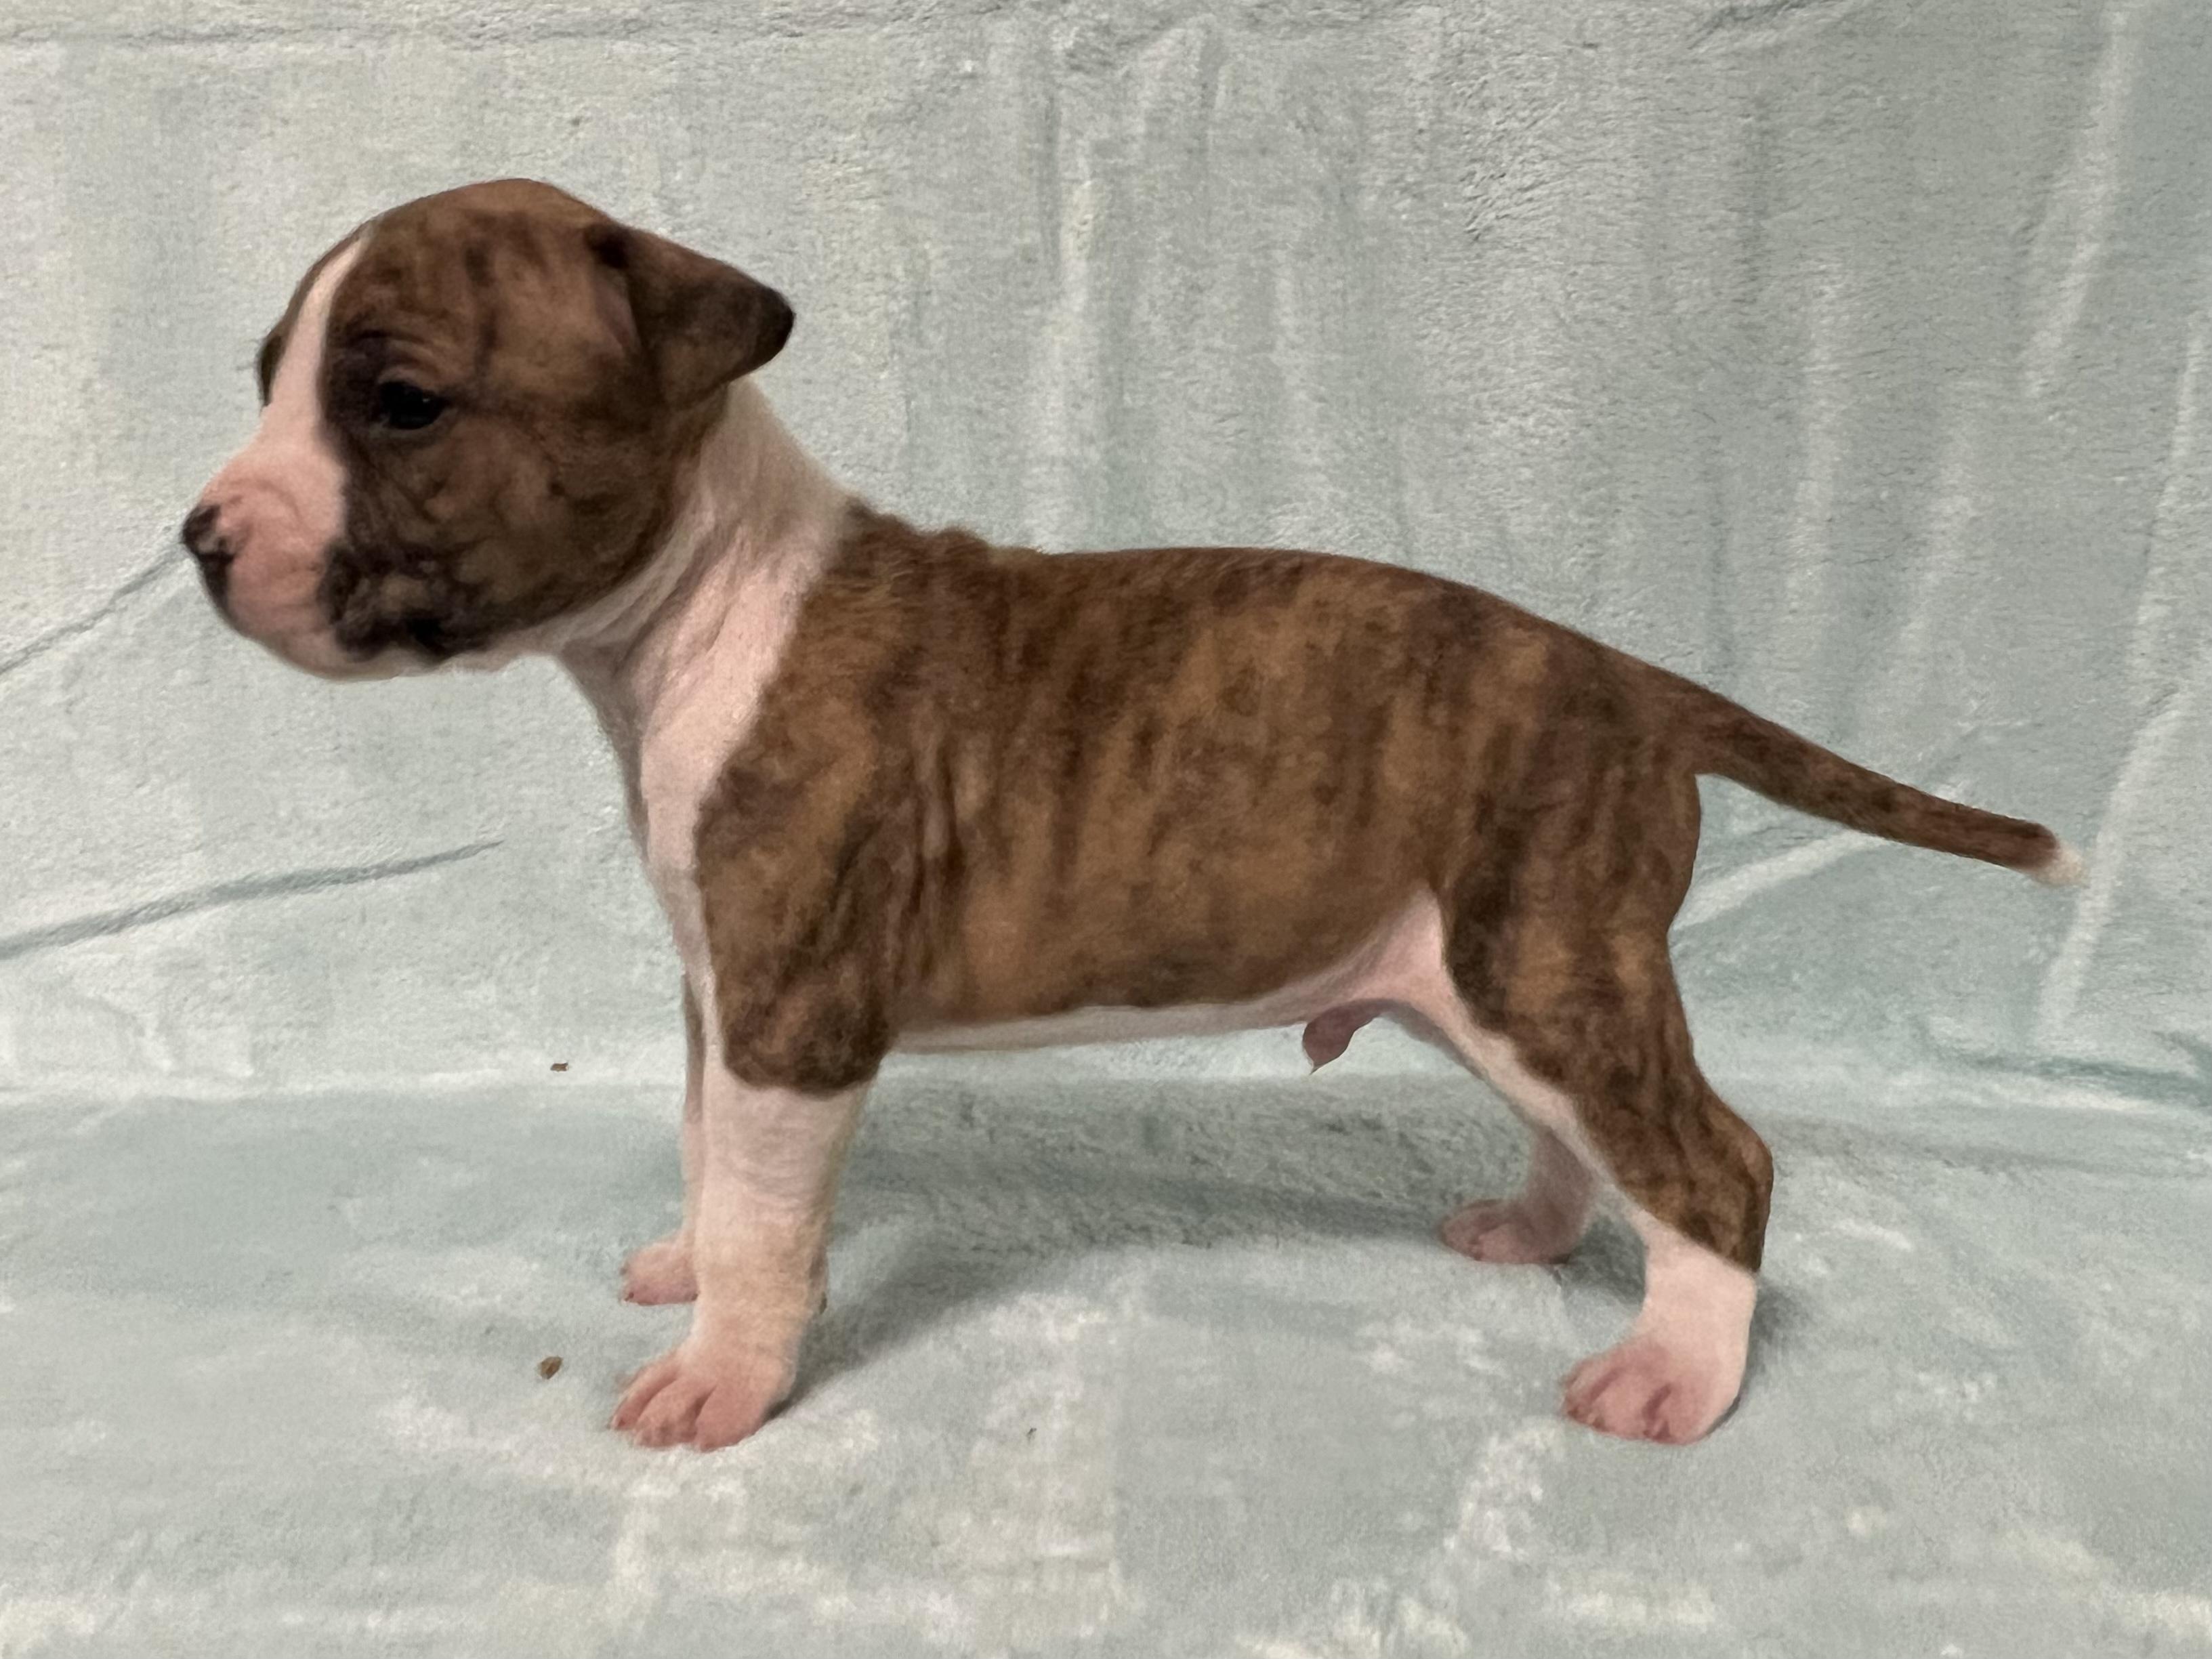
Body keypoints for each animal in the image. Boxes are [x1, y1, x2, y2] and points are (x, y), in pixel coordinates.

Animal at [183, 179, 2080, 1451]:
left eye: (399, 401)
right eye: (269, 372)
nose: (199, 538)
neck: (702, 605)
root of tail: (1631, 678)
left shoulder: (796, 1011)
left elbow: (769, 1210)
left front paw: (727, 1369)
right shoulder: (721, 991)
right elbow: (709, 1153)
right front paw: (686, 1264)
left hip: (1545, 959)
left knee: (1715, 1161)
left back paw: (1675, 1371)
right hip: (1484, 974)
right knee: (1601, 1136)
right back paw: (1538, 1232)